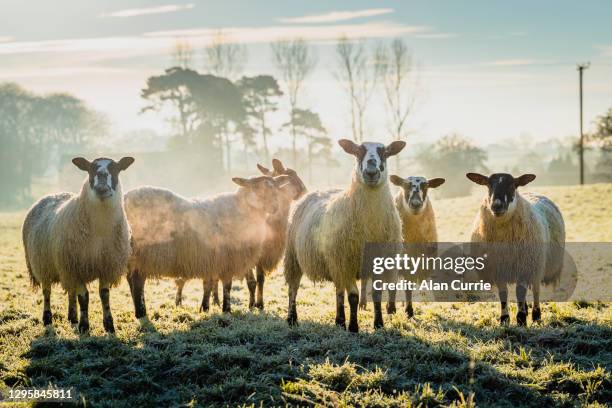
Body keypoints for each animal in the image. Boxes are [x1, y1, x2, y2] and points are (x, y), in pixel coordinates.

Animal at [23, 155, 135, 334]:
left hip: (65, 266)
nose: (102, 182)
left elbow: (104, 295)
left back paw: (72, 316)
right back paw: (47, 318)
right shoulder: (77, 267)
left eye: (115, 168)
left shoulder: (105, 265)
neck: (99, 229)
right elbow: (84, 297)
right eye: (90, 169)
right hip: (44, 264)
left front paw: (109, 325)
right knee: (47, 292)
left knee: (70, 290)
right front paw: (84, 326)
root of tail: (52, 195)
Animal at [125, 174, 292, 318]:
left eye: (276, 189)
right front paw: (226, 310)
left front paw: (205, 308)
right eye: (257, 188)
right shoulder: (227, 258)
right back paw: (141, 312)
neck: (241, 211)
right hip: (142, 253)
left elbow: (208, 284)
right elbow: (227, 286)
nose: (275, 206)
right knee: (137, 282)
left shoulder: (210, 259)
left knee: (131, 280)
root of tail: (125, 198)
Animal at [284, 139, 406, 332]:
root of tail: (309, 193)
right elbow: (354, 296)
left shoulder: (375, 261)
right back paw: (292, 318)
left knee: (338, 290)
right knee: (293, 287)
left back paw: (339, 320)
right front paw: (354, 327)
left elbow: (377, 295)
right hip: (294, 256)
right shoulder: (346, 262)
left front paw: (378, 324)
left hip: (334, 259)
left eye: (385, 153)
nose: (371, 172)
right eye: (357, 152)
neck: (370, 225)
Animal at [368, 174, 444, 318]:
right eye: (404, 185)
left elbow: (408, 287)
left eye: (426, 186)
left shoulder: (413, 262)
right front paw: (391, 309)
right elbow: (392, 285)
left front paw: (409, 310)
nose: (415, 204)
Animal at [466, 172, 568, 326]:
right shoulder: (498, 268)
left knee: (536, 289)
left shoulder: (525, 265)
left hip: (537, 264)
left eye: (512, 185)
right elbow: (504, 294)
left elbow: (520, 291)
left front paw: (521, 320)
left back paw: (536, 315)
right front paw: (505, 319)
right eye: (489, 185)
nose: (496, 206)